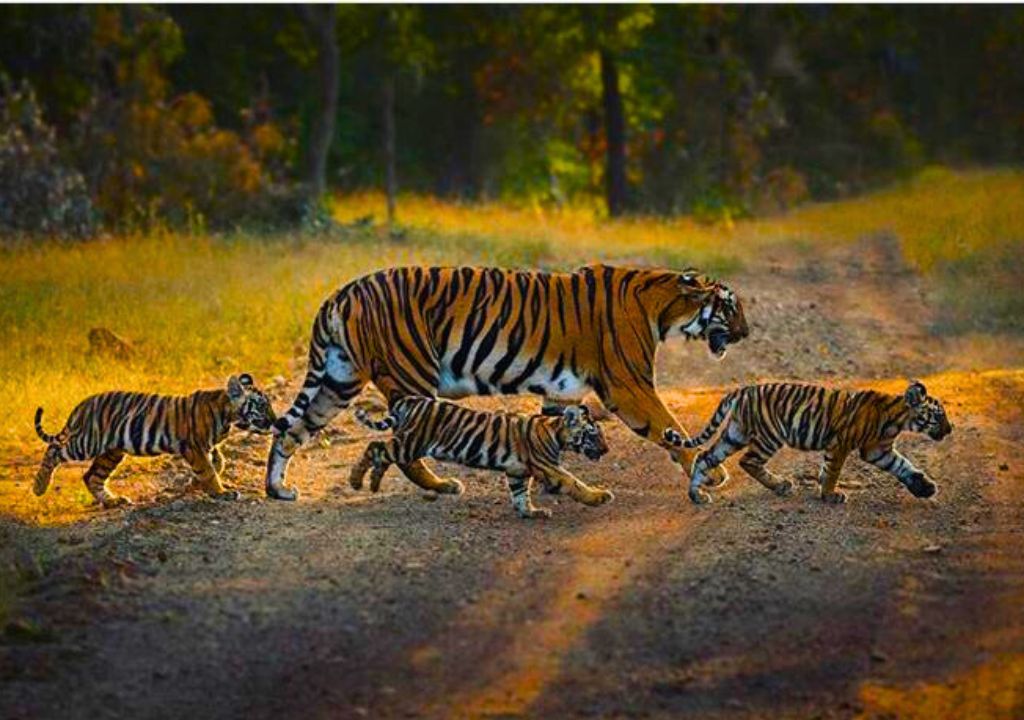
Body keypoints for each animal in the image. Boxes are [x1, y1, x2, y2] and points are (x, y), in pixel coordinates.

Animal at [33, 374, 276, 507]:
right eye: (262, 406)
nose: (277, 422)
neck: (227, 414)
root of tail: (82, 405)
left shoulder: (207, 446)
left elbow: (218, 463)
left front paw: (194, 485)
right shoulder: (194, 446)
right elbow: (208, 470)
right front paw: (221, 493)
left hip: (112, 451)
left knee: (92, 476)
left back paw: (112, 501)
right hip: (87, 442)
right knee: (55, 449)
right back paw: (39, 487)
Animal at [266, 264, 748, 501]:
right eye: (730, 308)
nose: (746, 333)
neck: (664, 307)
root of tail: (340, 293)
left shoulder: (562, 390)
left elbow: (555, 436)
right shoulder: (628, 387)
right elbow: (671, 428)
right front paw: (713, 473)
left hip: (338, 380)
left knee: (290, 432)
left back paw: (278, 490)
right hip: (410, 375)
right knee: (404, 447)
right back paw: (441, 487)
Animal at [349, 397, 612, 519]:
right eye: (592, 433)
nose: (607, 450)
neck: (556, 432)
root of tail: (412, 400)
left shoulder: (517, 471)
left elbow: (520, 495)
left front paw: (531, 512)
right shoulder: (548, 467)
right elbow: (575, 482)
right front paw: (599, 496)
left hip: (407, 443)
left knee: (381, 454)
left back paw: (373, 483)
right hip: (411, 444)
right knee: (375, 448)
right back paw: (356, 481)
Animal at [663, 380, 952, 505]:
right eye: (939, 416)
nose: (950, 430)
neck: (898, 419)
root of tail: (741, 390)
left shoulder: (877, 450)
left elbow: (903, 466)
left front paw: (925, 488)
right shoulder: (841, 443)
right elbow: (833, 470)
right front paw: (830, 495)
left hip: (735, 434)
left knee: (705, 457)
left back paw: (697, 496)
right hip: (769, 436)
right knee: (748, 462)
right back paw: (781, 485)